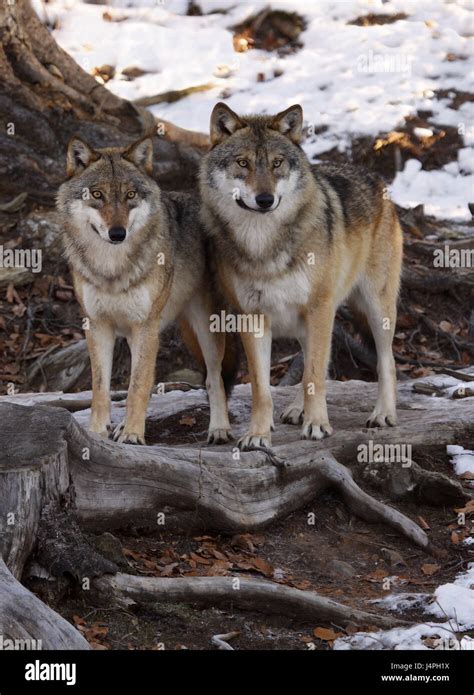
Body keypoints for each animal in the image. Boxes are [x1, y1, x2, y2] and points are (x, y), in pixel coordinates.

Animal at [56, 136, 234, 446]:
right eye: (97, 194)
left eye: (130, 195)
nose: (117, 233)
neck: (112, 269)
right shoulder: (98, 325)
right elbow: (101, 388)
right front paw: (98, 433)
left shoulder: (146, 326)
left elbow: (138, 386)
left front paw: (133, 435)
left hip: (205, 328)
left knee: (215, 377)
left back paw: (219, 429)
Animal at [198, 102, 402, 452]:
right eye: (243, 163)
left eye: (277, 163)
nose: (265, 199)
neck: (264, 245)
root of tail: (374, 176)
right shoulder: (252, 317)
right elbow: (263, 388)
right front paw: (258, 435)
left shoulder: (319, 307)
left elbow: (315, 376)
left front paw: (317, 425)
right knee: (312, 362)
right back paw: (296, 410)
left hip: (375, 309)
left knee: (384, 361)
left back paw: (383, 414)